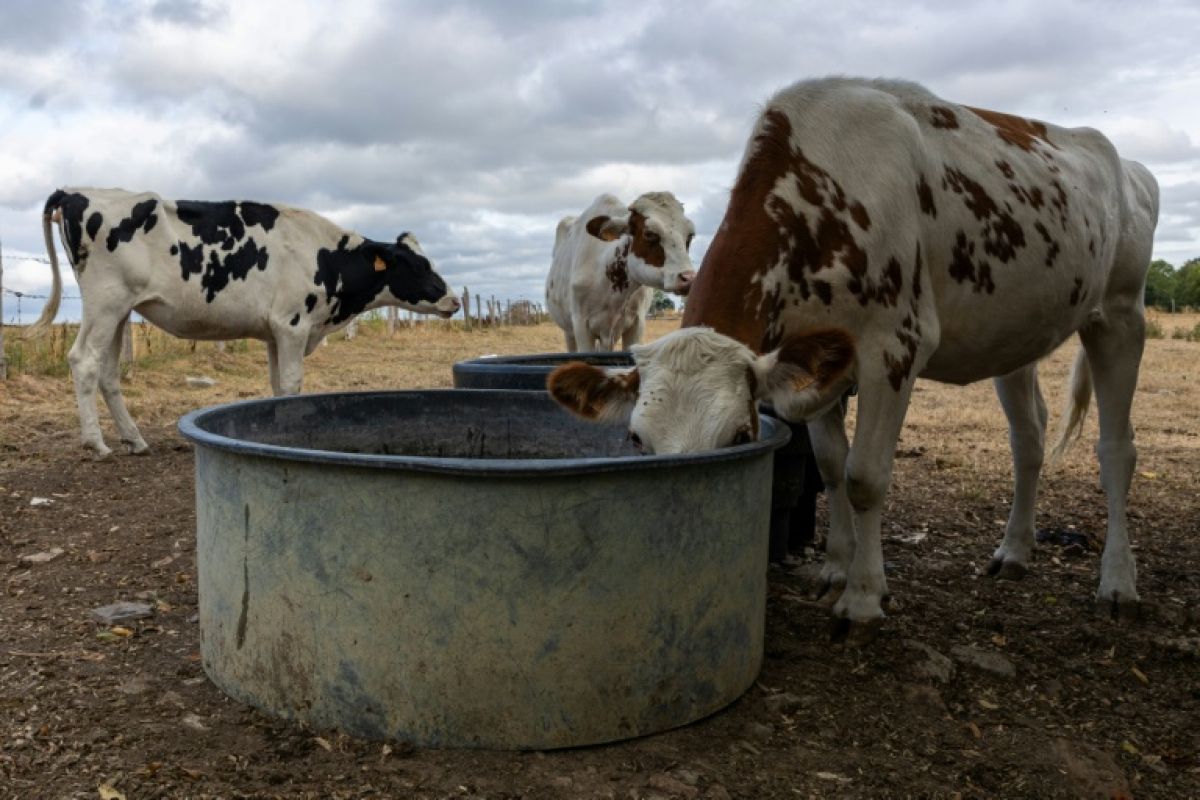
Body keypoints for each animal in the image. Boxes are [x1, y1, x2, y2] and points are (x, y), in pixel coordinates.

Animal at [26, 187, 461, 458]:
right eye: (414, 264)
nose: (454, 300)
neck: (326, 257)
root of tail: (75, 191)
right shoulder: (293, 325)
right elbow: (291, 384)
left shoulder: (275, 332)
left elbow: (276, 384)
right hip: (105, 302)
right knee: (83, 361)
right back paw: (96, 444)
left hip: (120, 310)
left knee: (107, 372)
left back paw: (134, 440)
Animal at [545, 192, 696, 351]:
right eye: (649, 233)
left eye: (690, 235)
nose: (688, 278)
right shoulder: (581, 326)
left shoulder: (636, 324)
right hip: (568, 331)